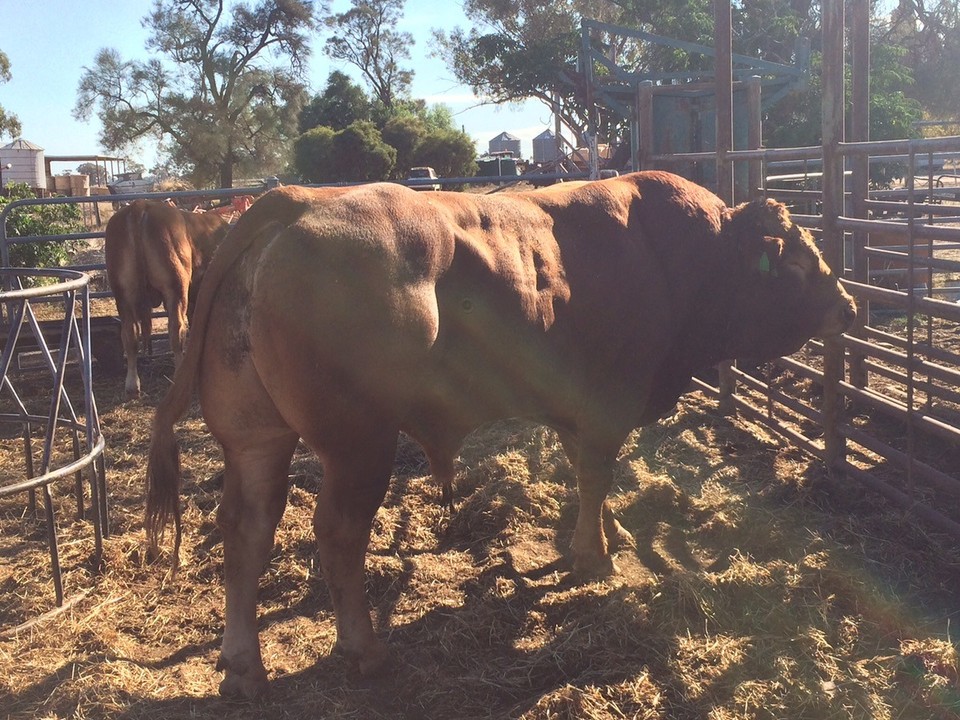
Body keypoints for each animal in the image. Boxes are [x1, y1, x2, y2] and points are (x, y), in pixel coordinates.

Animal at [103, 200, 229, 396]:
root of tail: (140, 206)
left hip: (123, 292)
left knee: (130, 334)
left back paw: (132, 385)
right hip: (175, 288)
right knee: (176, 331)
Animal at [144, 172, 856, 700]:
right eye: (796, 258)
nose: (848, 306)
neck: (673, 260)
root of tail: (292, 201)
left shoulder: (575, 408)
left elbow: (587, 474)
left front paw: (610, 532)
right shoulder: (608, 401)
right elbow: (595, 472)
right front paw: (594, 553)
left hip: (257, 439)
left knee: (247, 528)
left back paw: (244, 667)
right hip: (359, 445)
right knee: (338, 534)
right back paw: (364, 649)